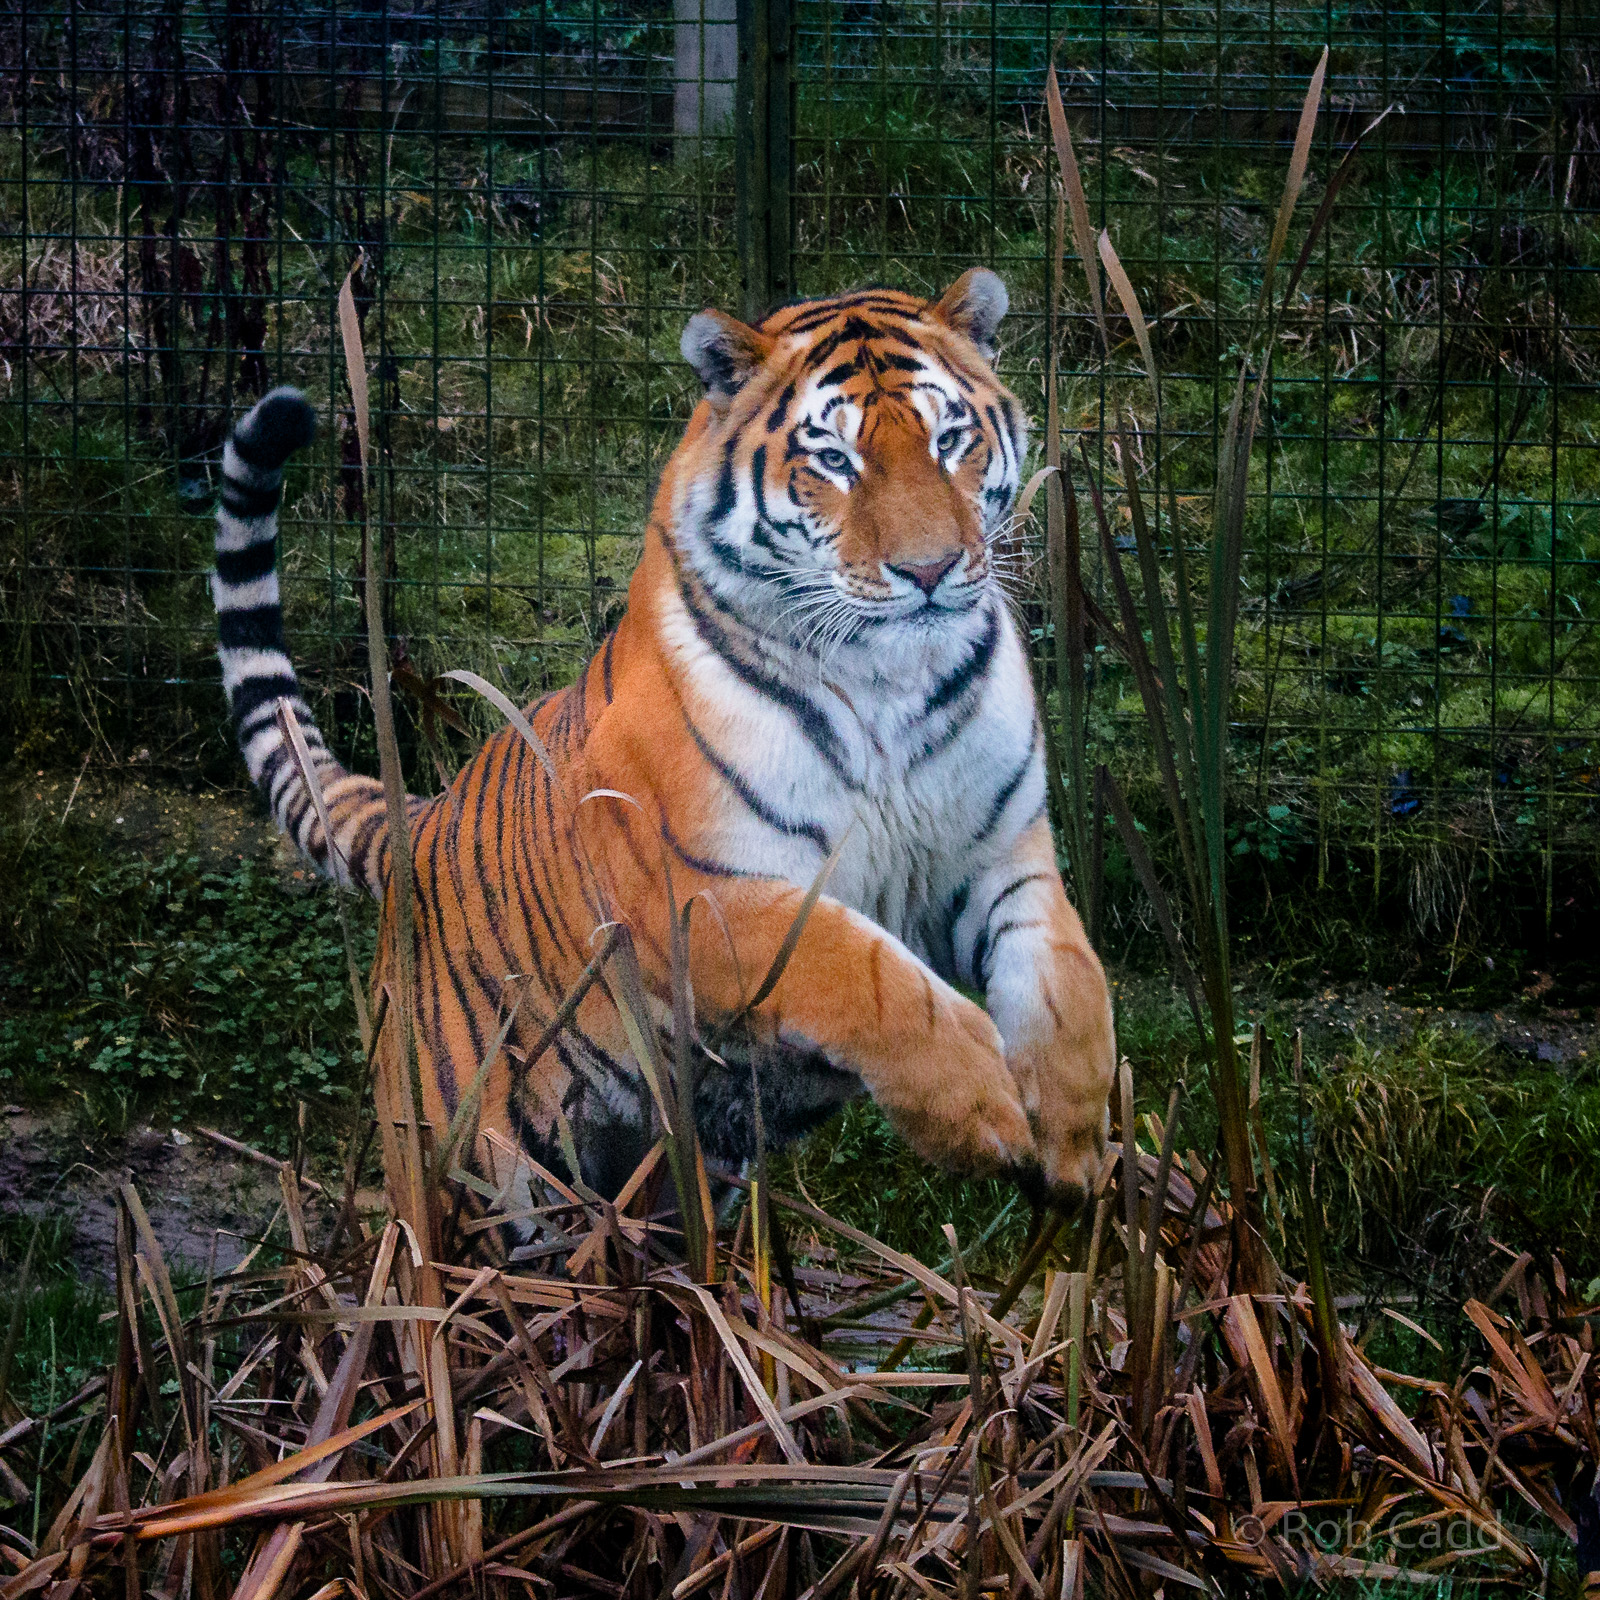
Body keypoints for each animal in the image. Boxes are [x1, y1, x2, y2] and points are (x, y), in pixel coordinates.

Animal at [212, 269, 1115, 1212]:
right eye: (834, 460)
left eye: (949, 439)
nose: (932, 570)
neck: (889, 677)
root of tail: (418, 820)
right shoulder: (697, 896)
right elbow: (869, 975)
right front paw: (979, 1110)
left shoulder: (1001, 855)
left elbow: (1069, 980)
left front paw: (1072, 1138)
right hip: (464, 1157)